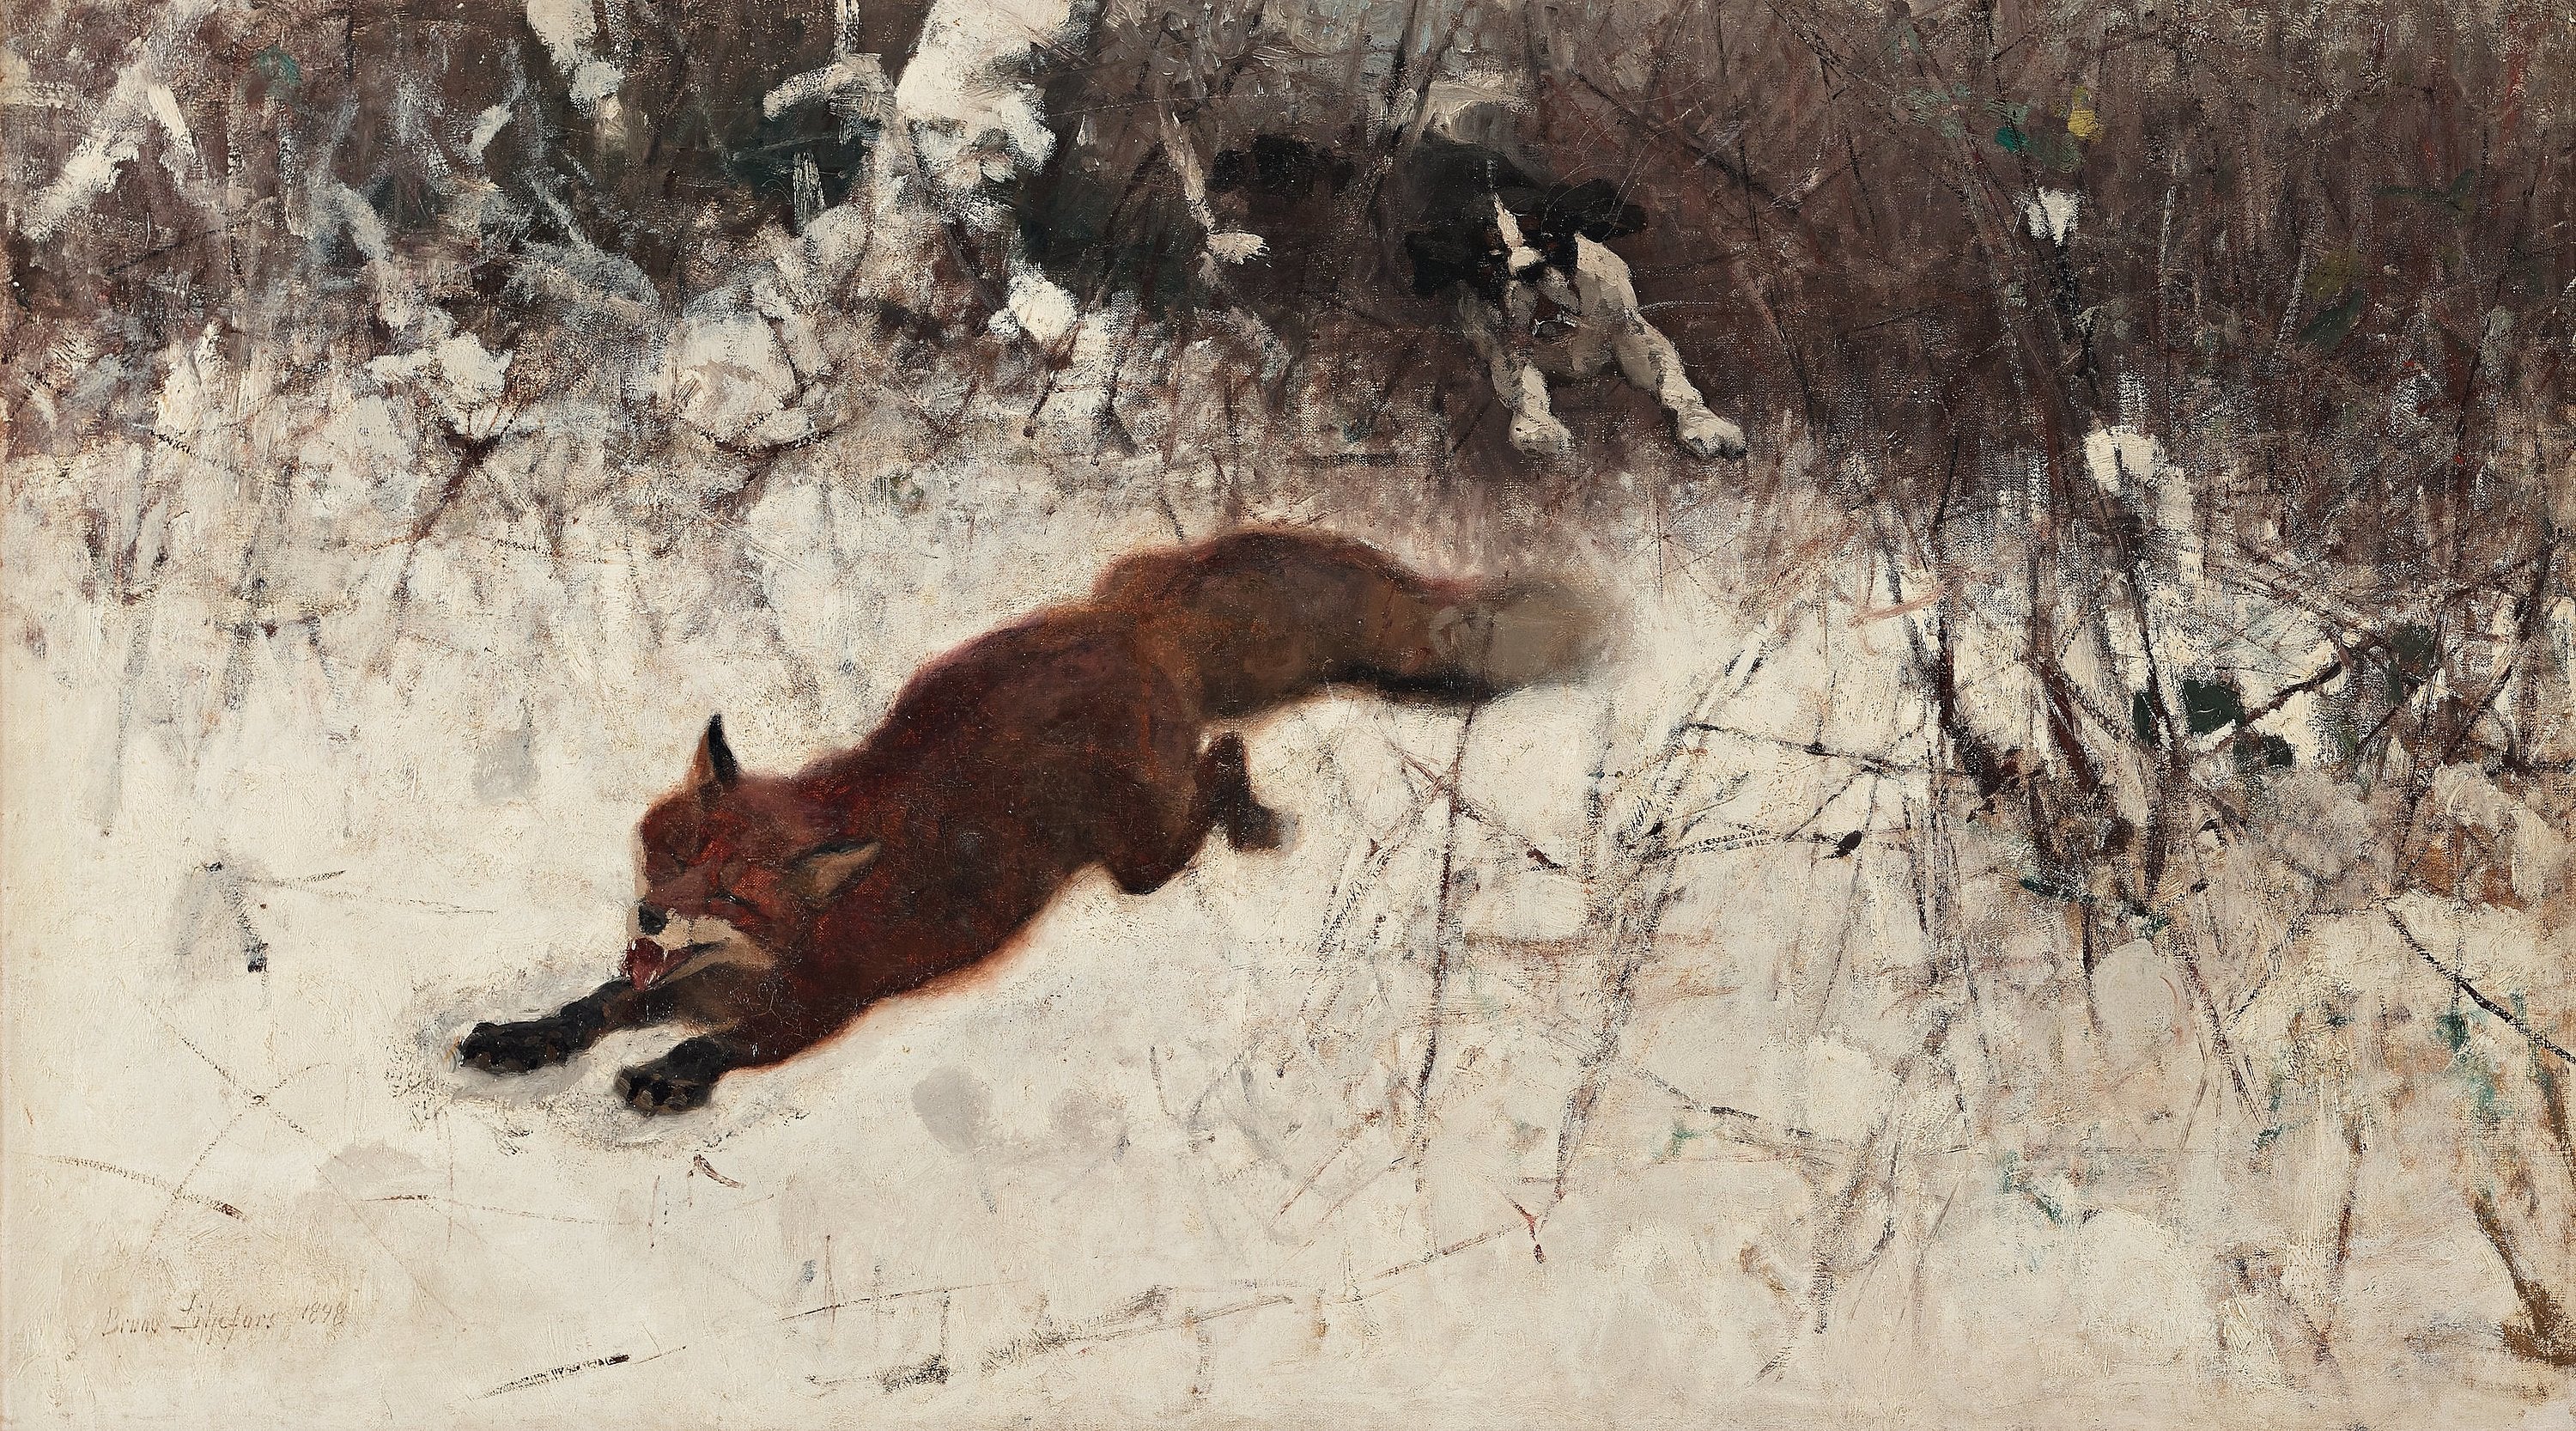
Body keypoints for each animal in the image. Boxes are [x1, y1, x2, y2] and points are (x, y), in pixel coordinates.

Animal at [457, 528, 1591, 1112]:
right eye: (679, 854)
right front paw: (522, 1036)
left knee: (1221, 764)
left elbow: (718, 1049)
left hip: (1139, 852)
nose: (652, 915)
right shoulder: (672, 977)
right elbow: (593, 1004)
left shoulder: (818, 1007)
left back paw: (1251, 811)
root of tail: (1126, 622)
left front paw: (665, 1073)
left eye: (734, 893)